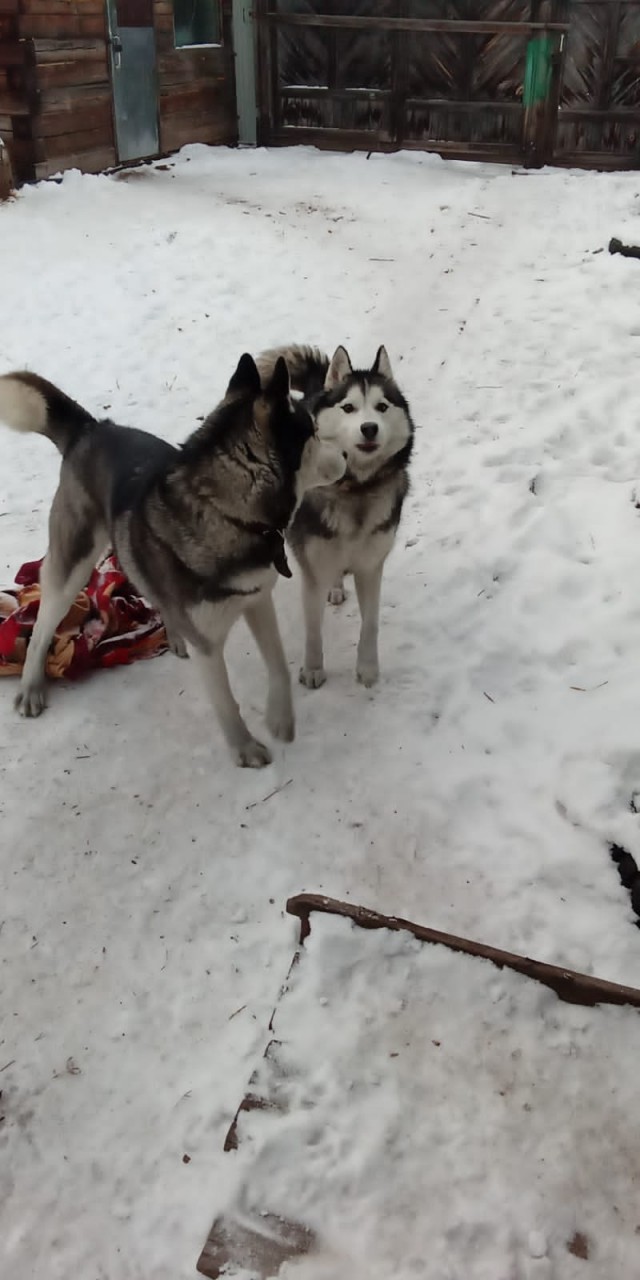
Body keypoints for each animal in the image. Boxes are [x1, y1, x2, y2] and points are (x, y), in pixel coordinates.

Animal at [0, 355, 348, 762]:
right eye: (313, 433)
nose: (347, 454)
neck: (227, 513)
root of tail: (92, 429)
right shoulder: (208, 645)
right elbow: (226, 702)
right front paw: (245, 749)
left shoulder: (257, 598)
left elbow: (278, 665)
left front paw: (280, 721)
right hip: (72, 563)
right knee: (43, 626)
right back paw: (31, 688)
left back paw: (174, 634)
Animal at [257, 345, 412, 691]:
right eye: (349, 408)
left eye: (382, 407)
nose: (369, 428)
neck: (355, 489)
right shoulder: (313, 570)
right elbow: (313, 630)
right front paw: (313, 669)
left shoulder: (371, 566)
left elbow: (370, 624)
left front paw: (367, 669)